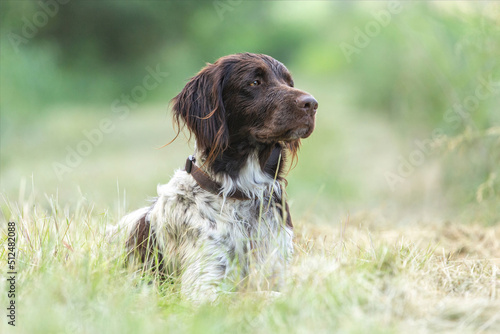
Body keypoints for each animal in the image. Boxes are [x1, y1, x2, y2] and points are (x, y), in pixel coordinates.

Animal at [116, 52, 316, 302]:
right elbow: (259, 295)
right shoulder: (202, 288)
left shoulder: (278, 268)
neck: (242, 193)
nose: (312, 104)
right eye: (254, 82)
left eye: (289, 83)